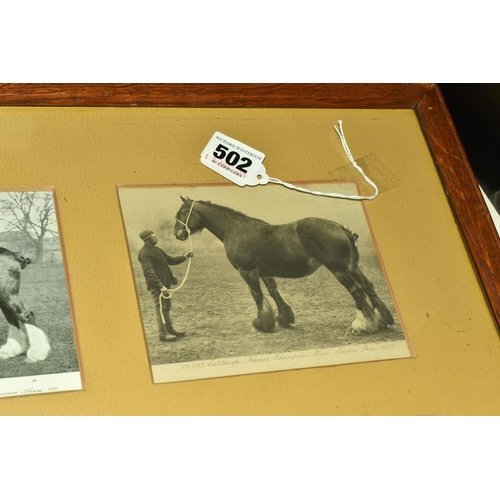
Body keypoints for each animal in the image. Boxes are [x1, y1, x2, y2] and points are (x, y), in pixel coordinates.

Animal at [176, 197, 394, 334]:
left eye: (184, 212)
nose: (177, 233)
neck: (236, 229)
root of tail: (340, 227)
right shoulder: (264, 272)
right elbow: (273, 292)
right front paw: (283, 318)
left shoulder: (248, 272)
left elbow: (257, 295)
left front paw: (262, 323)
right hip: (351, 267)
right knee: (368, 287)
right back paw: (384, 320)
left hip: (339, 270)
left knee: (356, 291)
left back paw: (365, 325)